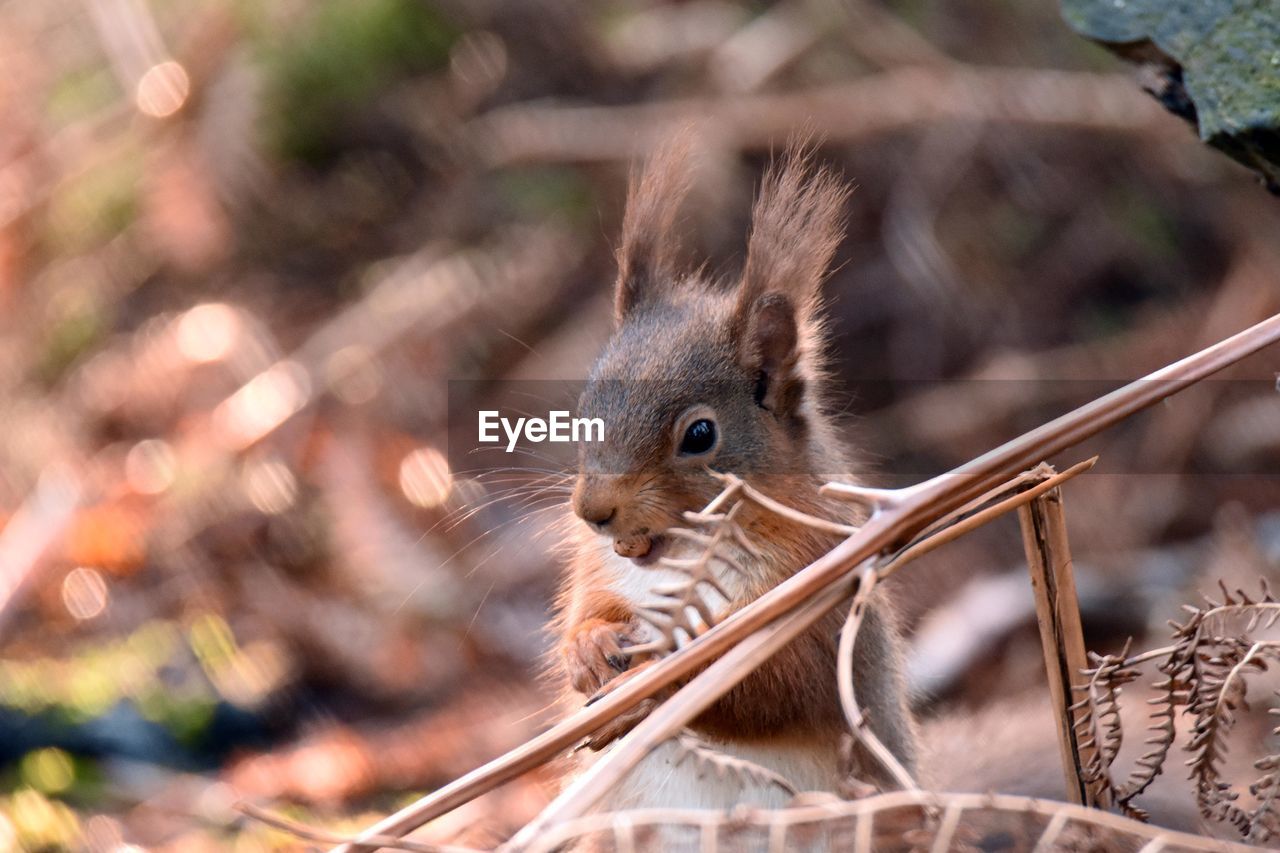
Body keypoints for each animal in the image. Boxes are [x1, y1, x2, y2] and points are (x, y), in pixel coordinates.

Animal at [555, 136, 916, 809]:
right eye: (584, 408)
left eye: (700, 435)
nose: (593, 512)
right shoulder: (599, 569)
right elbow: (588, 606)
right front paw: (587, 647)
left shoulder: (822, 598)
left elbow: (776, 686)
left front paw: (650, 689)